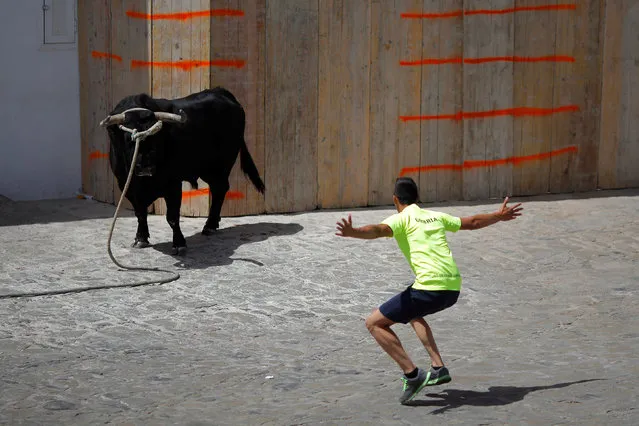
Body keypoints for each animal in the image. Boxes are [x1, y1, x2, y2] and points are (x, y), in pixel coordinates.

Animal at [101, 86, 266, 253]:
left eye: (156, 137)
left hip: (221, 165)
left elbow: (172, 217)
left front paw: (179, 243)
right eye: (129, 139)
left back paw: (210, 225)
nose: (146, 166)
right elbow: (140, 213)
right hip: (209, 170)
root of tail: (221, 92)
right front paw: (141, 238)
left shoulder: (173, 183)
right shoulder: (126, 186)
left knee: (220, 189)